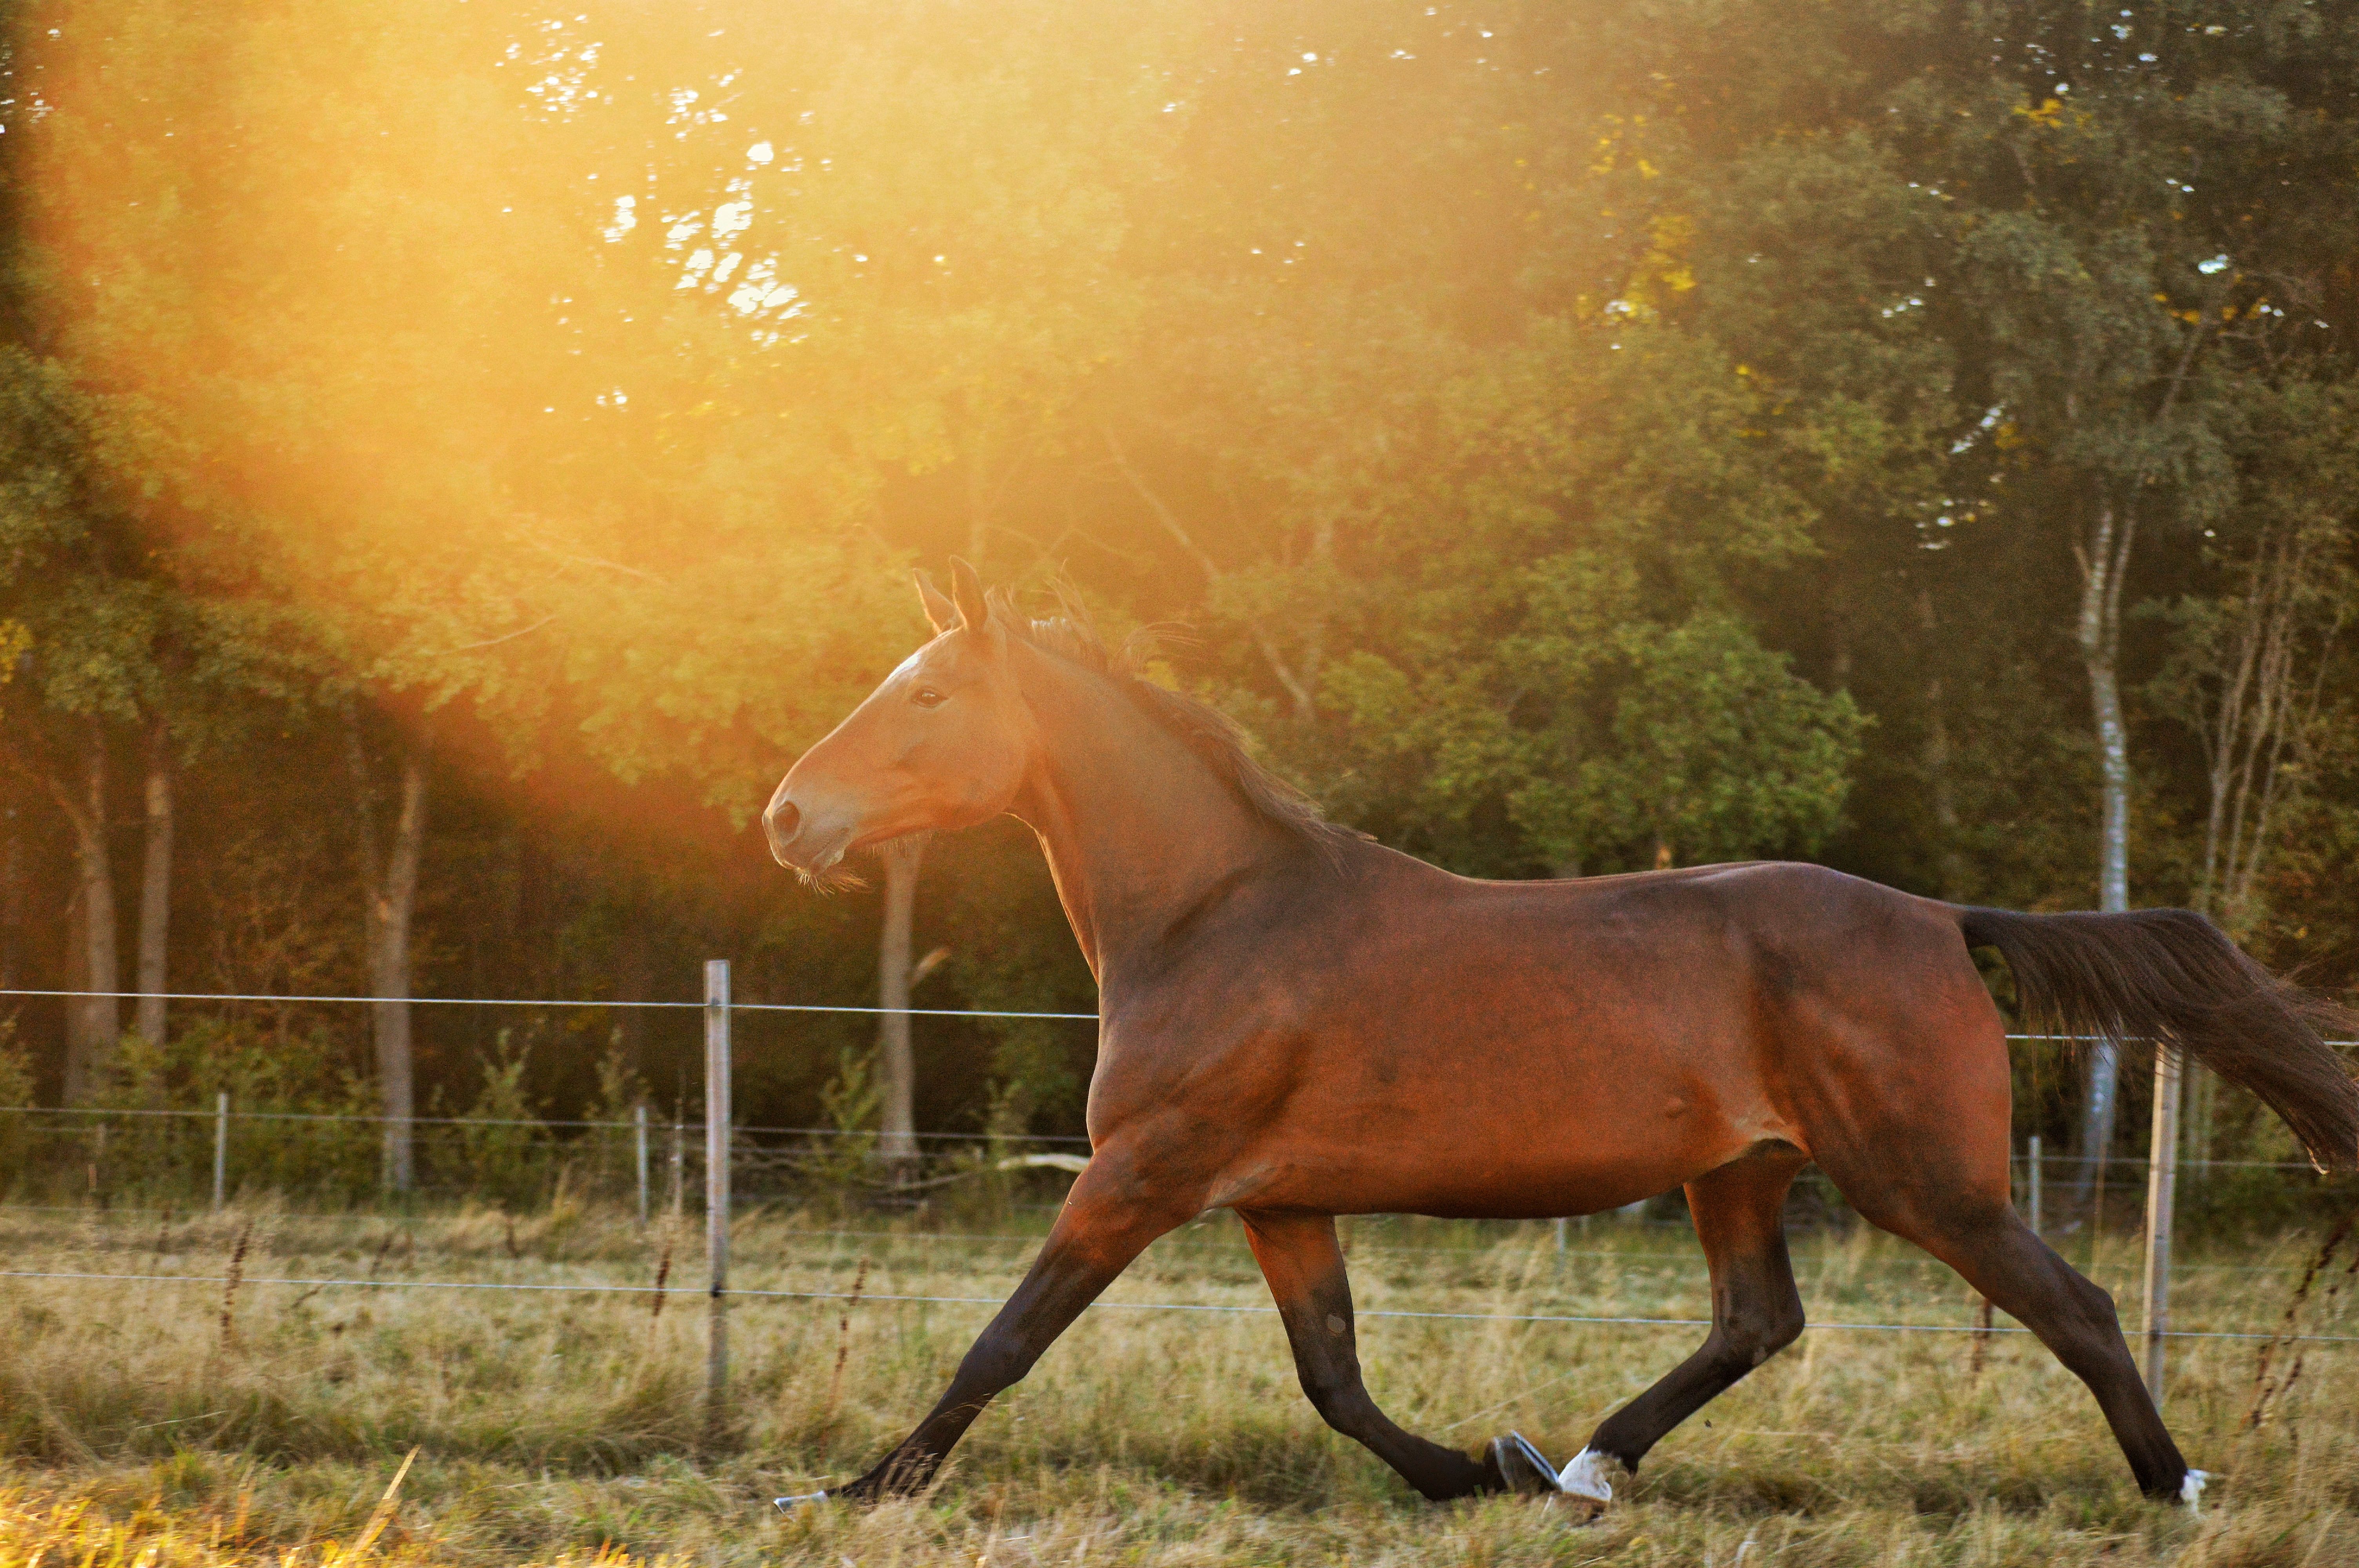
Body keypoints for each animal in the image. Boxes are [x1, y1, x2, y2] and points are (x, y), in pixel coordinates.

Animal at [762, 559, 2359, 1511]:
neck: (1217, 915)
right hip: (1741, 1170)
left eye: (925, 693)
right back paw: (1579, 1461)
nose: (787, 816)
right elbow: (1334, 1378)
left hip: (1926, 1180)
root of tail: (1933, 917)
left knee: (2072, 1305)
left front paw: (857, 1490)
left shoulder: (1140, 1174)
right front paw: (1475, 1467)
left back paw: (2172, 1488)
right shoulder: (1277, 1199)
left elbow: (1001, 1341)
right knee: (1754, 1320)